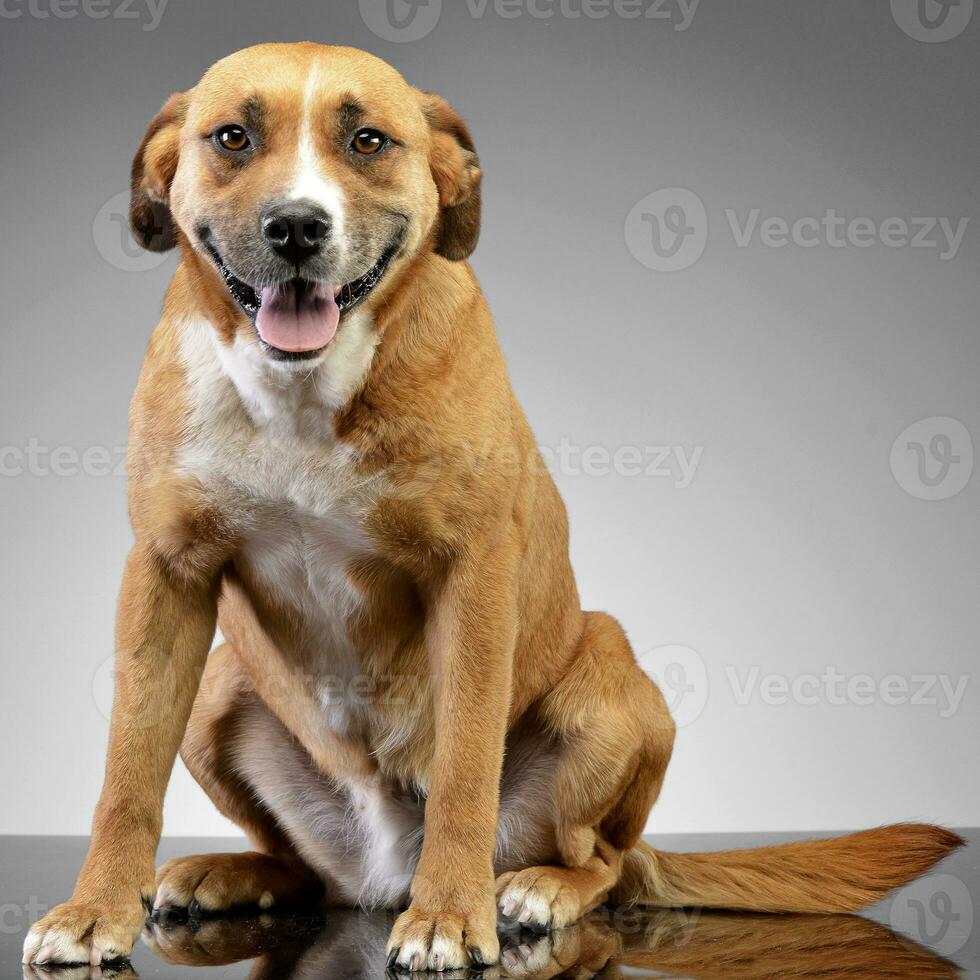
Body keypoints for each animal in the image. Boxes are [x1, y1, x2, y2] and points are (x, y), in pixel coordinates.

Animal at [23, 44, 964, 972]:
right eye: (232, 137)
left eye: (368, 140)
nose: (295, 226)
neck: (305, 394)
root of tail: (380, 873)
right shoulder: (166, 575)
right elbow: (126, 774)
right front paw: (97, 909)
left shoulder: (471, 579)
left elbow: (466, 768)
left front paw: (449, 913)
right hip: (220, 683)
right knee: (306, 869)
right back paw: (234, 873)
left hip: (610, 677)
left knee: (604, 862)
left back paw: (537, 888)